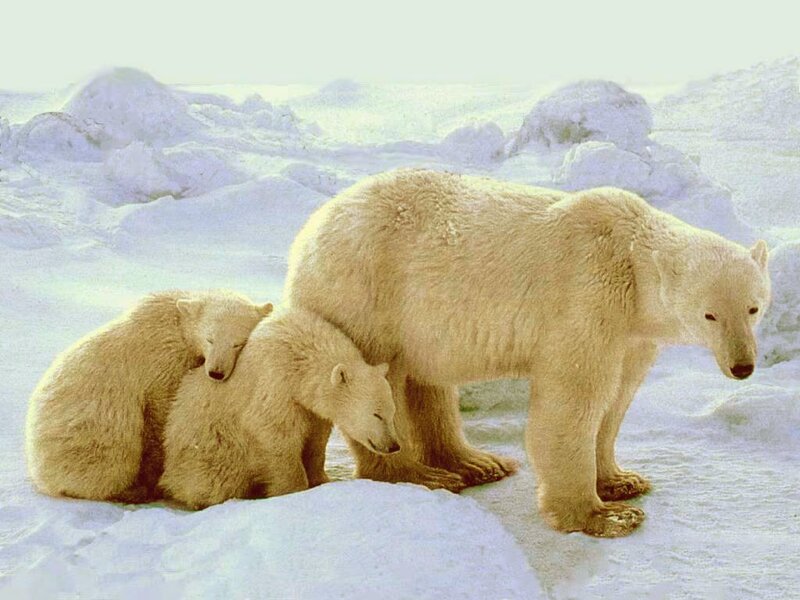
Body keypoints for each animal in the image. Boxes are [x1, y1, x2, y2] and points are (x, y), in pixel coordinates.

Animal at [25, 290, 272, 502]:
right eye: (210, 338)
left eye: (238, 343)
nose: (216, 372)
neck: (177, 321)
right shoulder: (161, 362)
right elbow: (159, 411)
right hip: (86, 434)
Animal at [158, 306, 399, 510]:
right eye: (377, 415)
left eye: (392, 413)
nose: (393, 445)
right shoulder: (276, 384)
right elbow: (276, 434)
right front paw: (293, 490)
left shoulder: (311, 409)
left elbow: (316, 440)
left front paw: (320, 479)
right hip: (210, 445)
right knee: (215, 478)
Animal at [285, 169, 771, 537]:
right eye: (709, 314)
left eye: (753, 307)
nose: (742, 366)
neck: (629, 262)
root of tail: (308, 230)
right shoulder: (587, 300)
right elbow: (574, 400)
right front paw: (603, 516)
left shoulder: (631, 333)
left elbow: (617, 399)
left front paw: (622, 481)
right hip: (364, 293)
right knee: (374, 383)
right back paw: (421, 475)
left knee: (427, 383)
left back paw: (476, 463)